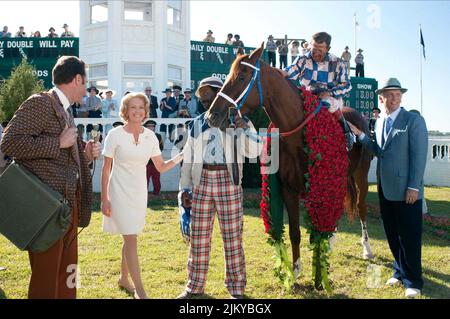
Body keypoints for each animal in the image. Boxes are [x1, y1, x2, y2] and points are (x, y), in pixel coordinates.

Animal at [207, 43, 372, 278]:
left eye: (242, 76)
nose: (212, 115)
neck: (297, 132)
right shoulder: (288, 188)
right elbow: (295, 232)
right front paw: (295, 271)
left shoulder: (314, 187)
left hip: (361, 175)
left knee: (361, 206)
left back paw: (366, 248)